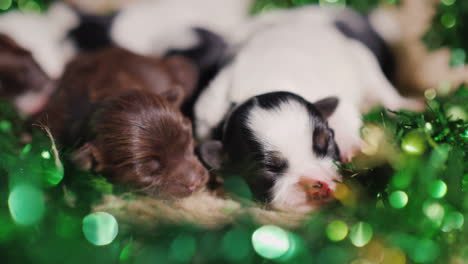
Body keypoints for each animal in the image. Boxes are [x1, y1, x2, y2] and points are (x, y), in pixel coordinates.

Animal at [196, 6, 422, 212]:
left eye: (326, 141)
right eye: (268, 170)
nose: (318, 184)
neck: (263, 86)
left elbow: (345, 113)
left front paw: (352, 148)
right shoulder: (207, 111)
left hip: (362, 60)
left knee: (382, 89)